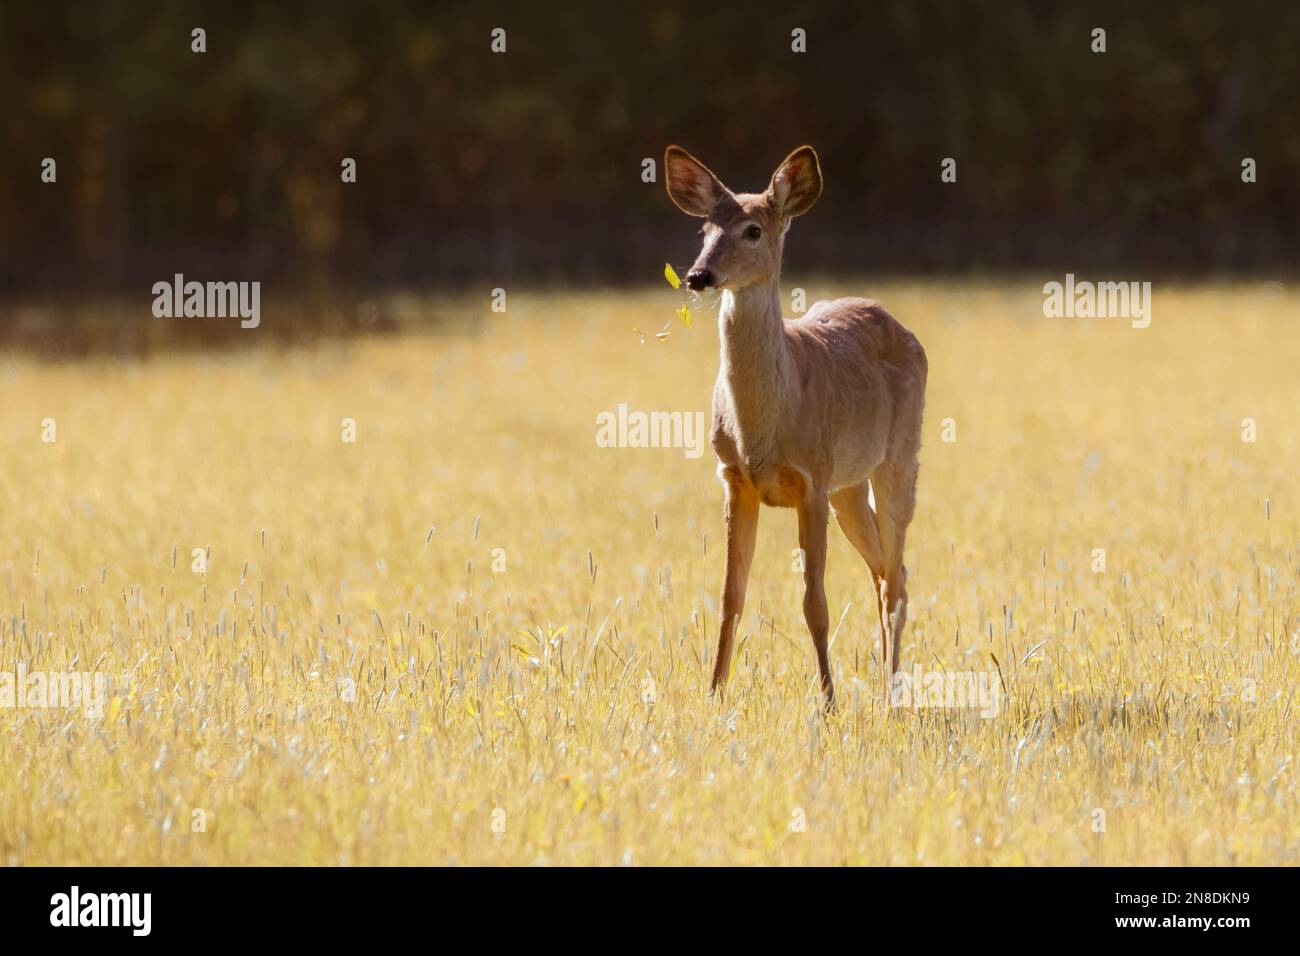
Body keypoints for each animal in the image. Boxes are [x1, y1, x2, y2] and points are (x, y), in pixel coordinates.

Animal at [665, 143, 930, 712]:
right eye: (704, 230)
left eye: (752, 230)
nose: (698, 275)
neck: (763, 426)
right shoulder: (734, 478)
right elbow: (730, 596)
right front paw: (713, 694)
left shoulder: (812, 479)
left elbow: (814, 602)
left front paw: (827, 702)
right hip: (848, 485)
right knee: (884, 569)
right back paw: (884, 678)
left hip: (898, 458)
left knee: (896, 576)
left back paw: (892, 692)